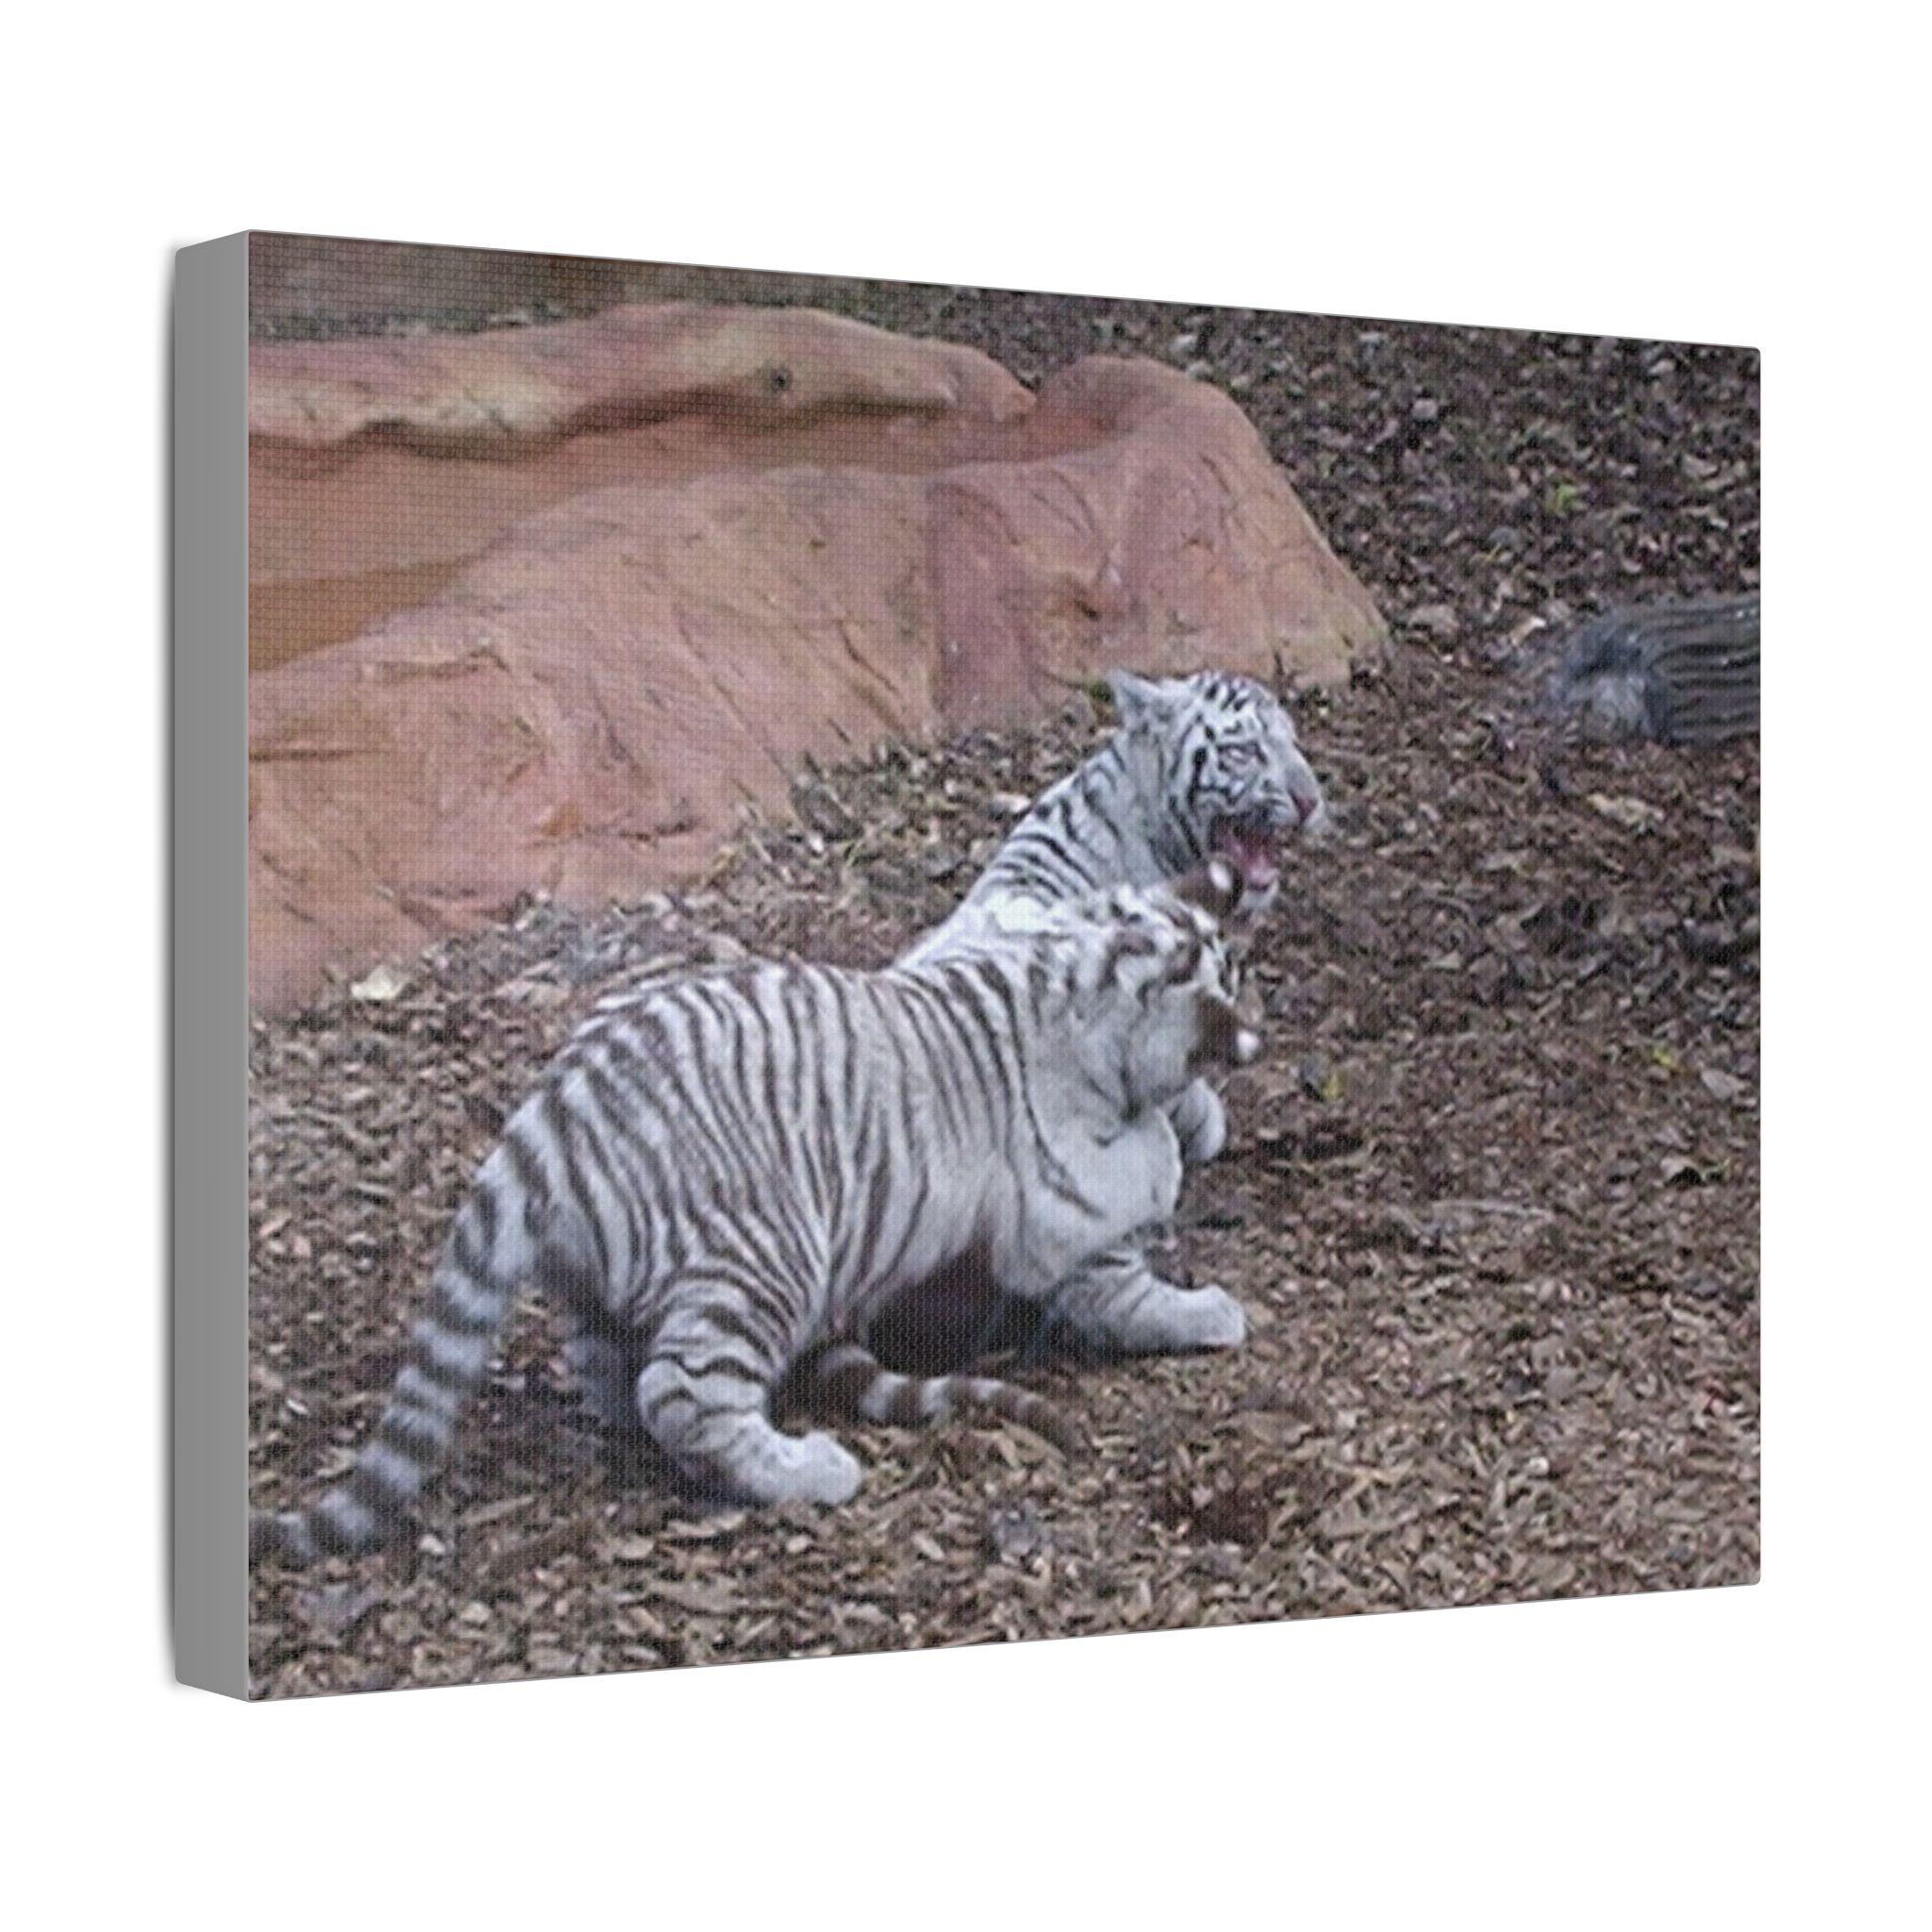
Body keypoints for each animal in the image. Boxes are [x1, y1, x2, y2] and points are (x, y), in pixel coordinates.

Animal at [251, 866, 1261, 1564]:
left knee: (613, 1372)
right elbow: (1130, 1278)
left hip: (608, 1280)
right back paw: (805, 1469)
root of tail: (555, 1111)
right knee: (685, 1393)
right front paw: (1207, 1306)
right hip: (764, 1259)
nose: (1250, 1035)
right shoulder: (1070, 1218)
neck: (1072, 981)